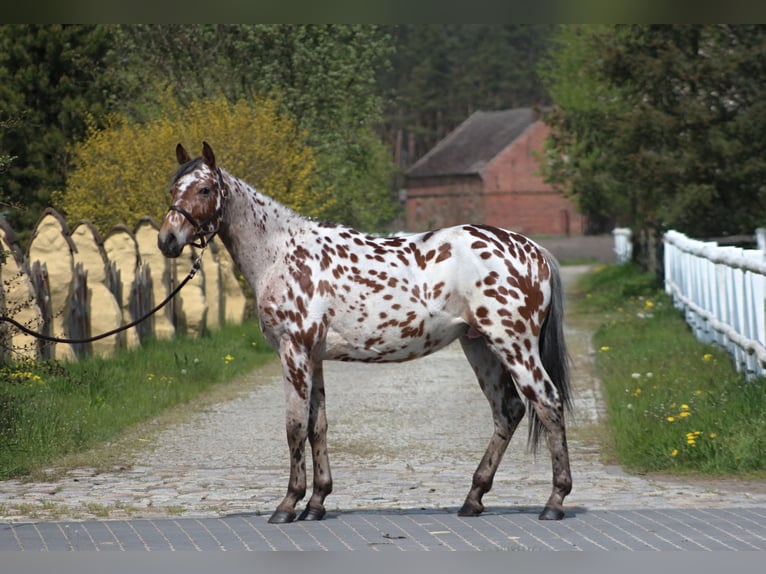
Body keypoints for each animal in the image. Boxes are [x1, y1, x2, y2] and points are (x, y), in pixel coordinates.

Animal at [159, 143, 572, 528]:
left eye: (205, 189)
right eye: (173, 187)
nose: (168, 240)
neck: (281, 254)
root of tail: (534, 250)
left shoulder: (294, 351)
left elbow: (294, 426)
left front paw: (288, 504)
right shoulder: (313, 356)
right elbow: (317, 426)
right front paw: (316, 503)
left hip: (513, 345)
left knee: (546, 403)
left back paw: (554, 501)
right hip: (479, 346)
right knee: (508, 411)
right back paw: (473, 498)